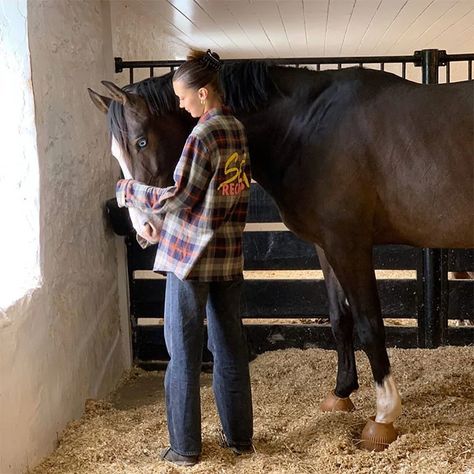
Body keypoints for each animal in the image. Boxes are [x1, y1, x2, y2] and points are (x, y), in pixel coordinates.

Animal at [89, 62, 474, 448]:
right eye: (116, 154)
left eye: (141, 141)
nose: (144, 228)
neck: (308, 128)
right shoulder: (326, 246)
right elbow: (340, 318)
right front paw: (341, 393)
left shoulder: (349, 245)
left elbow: (369, 325)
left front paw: (384, 415)